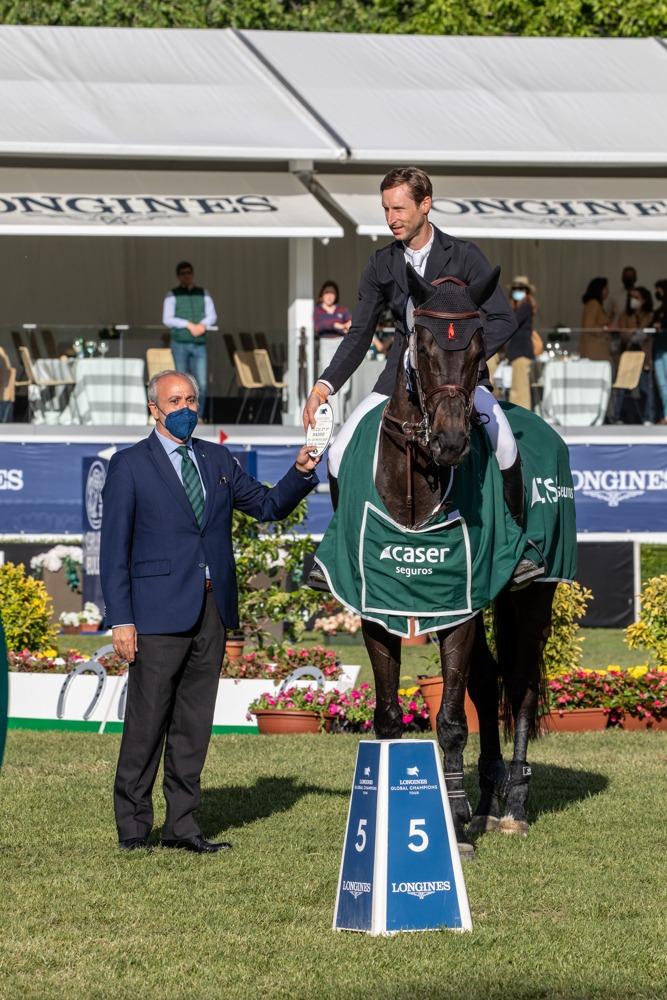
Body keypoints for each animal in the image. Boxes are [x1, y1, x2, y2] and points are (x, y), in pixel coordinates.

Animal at [366, 262, 560, 856]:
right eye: (422, 345)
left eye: (478, 349)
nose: (451, 442)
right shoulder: (375, 608)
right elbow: (389, 715)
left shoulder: (464, 607)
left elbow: (451, 719)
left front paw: (450, 820)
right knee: (488, 679)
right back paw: (489, 799)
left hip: (533, 596)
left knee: (519, 682)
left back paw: (513, 805)